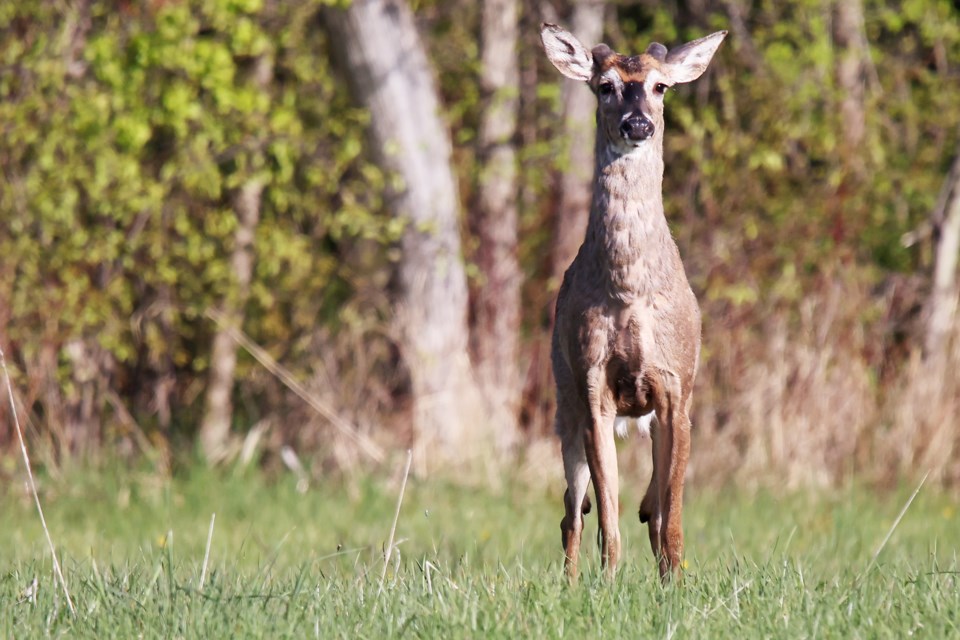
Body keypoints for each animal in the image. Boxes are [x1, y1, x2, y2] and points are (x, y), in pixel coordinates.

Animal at [540, 23, 728, 580]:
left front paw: (676, 582)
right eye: (604, 85)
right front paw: (607, 582)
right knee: (572, 511)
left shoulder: (676, 387)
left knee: (649, 507)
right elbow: (608, 514)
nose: (638, 122)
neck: (628, 292)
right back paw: (571, 581)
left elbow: (673, 516)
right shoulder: (592, 386)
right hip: (564, 400)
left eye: (661, 86)